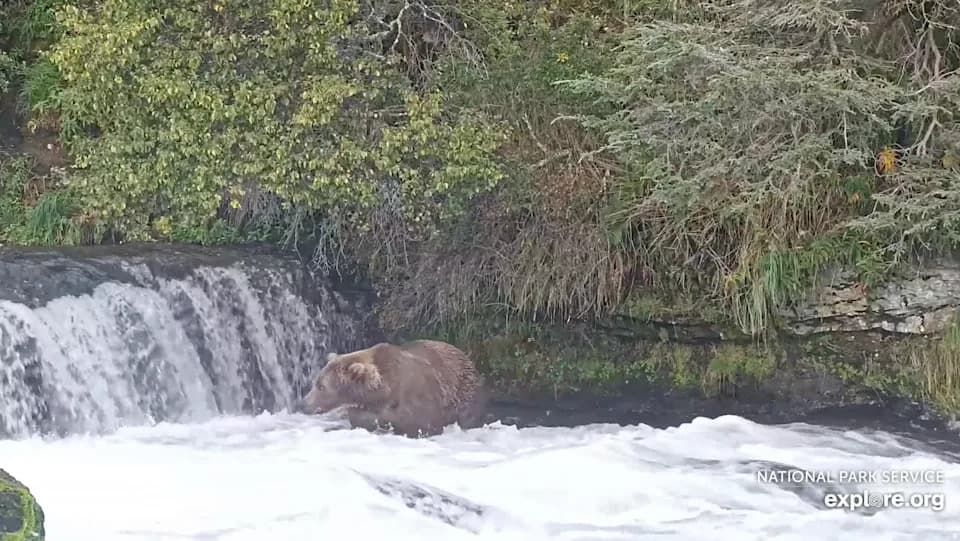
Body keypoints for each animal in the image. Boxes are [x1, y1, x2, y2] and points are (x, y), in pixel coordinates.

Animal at [297, 339, 488, 437]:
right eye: (315, 382)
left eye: (321, 386)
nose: (303, 404)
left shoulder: (417, 396)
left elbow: (422, 424)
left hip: (464, 394)